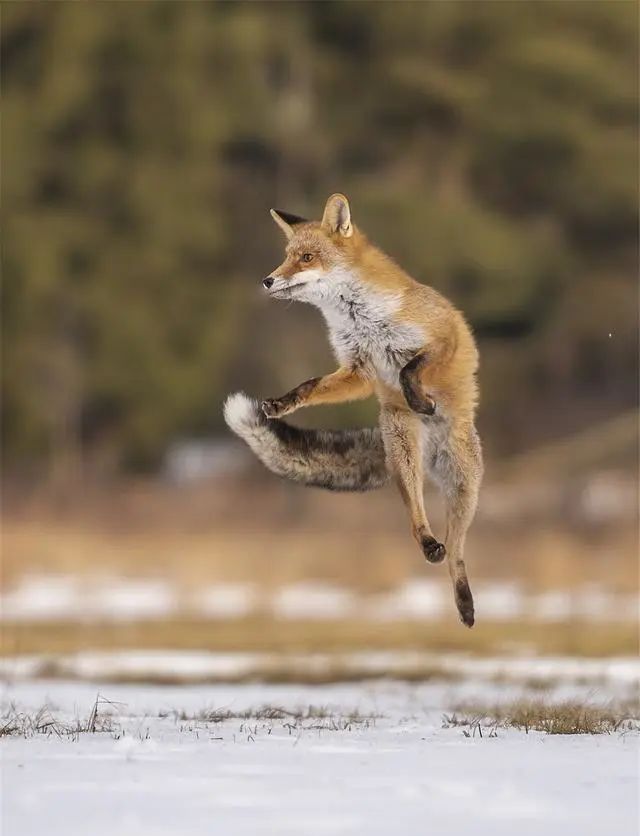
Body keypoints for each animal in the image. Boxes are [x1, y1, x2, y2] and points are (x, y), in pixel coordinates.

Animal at [224, 194, 480, 628]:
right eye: (287, 256)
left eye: (307, 257)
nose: (267, 281)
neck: (361, 318)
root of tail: (429, 453)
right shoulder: (358, 368)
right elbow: (309, 386)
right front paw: (282, 403)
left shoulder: (445, 336)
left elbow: (409, 368)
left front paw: (419, 399)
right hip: (405, 461)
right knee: (418, 519)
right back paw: (429, 545)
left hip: (466, 486)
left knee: (458, 552)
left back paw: (464, 603)